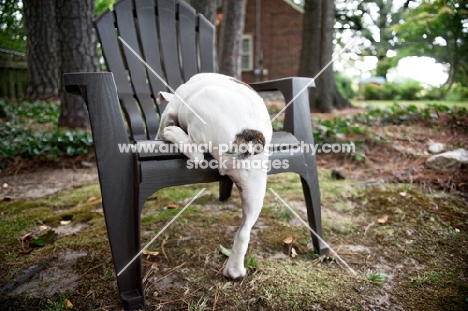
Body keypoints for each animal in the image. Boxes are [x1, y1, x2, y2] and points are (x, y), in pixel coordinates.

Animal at [156, 73, 272, 280]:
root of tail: (249, 139)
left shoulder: (170, 110)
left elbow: (163, 123)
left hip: (201, 103)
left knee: (196, 153)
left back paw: (174, 133)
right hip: (255, 188)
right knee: (244, 231)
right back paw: (234, 271)